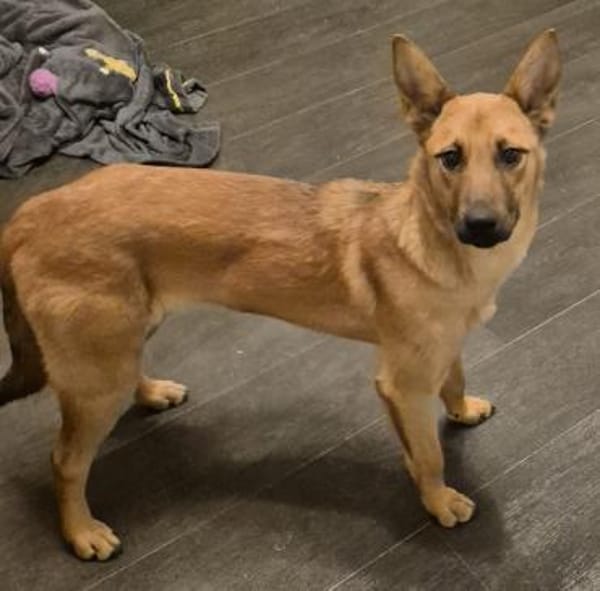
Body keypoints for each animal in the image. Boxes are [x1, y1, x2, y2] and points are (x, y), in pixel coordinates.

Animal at [0, 30, 560, 560]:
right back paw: (81, 532)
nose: (481, 225)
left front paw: (462, 409)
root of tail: (29, 214)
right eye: (450, 159)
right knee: (65, 461)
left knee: (126, 371)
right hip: (98, 371)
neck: (432, 237)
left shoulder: (444, 348)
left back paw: (152, 391)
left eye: (511, 155)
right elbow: (428, 454)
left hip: (124, 335)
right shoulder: (402, 385)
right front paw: (439, 501)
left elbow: (455, 379)